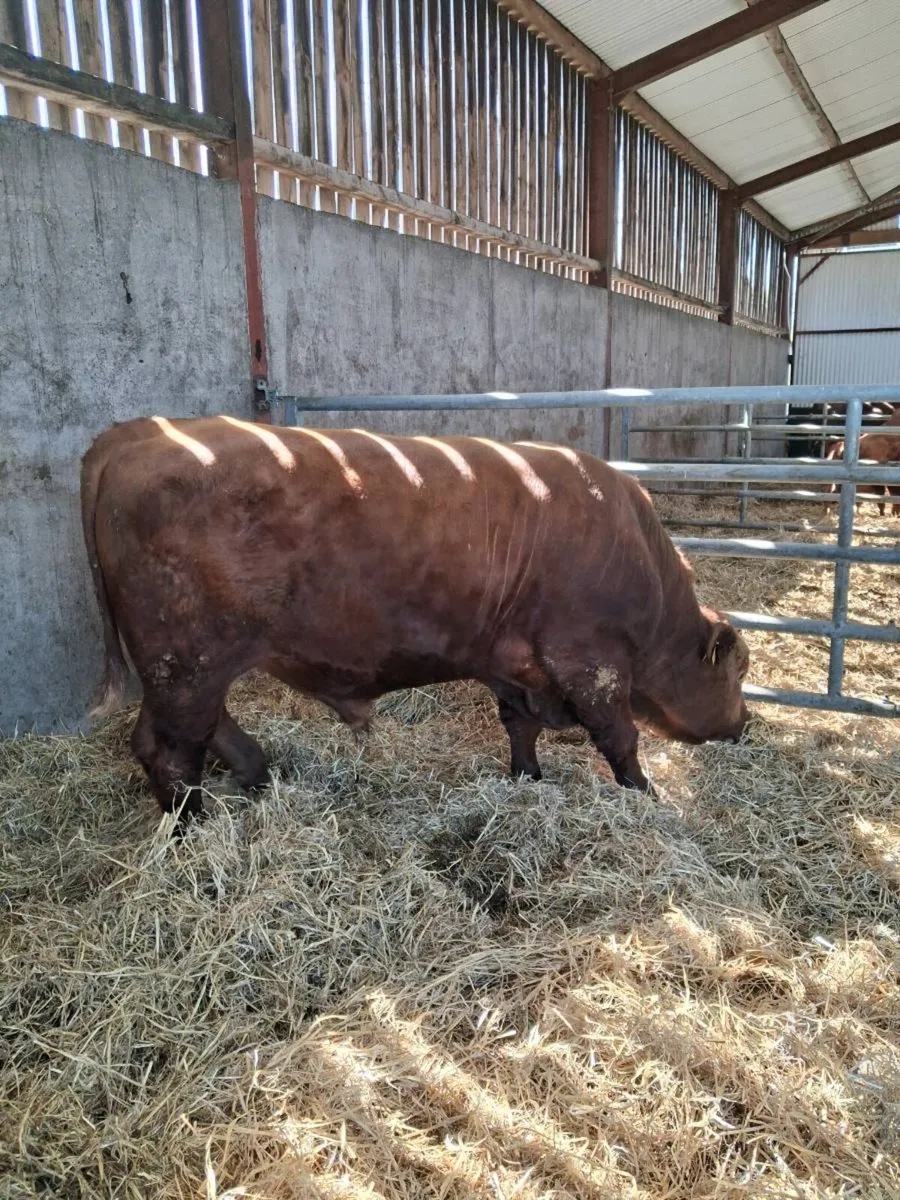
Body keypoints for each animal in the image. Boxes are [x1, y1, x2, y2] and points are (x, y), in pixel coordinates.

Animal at [80, 417, 750, 828]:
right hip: (184, 661)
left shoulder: (513, 664)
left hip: (185, 668)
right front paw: (647, 796)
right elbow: (620, 738)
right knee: (173, 753)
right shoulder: (591, 664)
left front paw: (527, 780)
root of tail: (138, 434)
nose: (745, 725)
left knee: (185, 733)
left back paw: (256, 774)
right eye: (739, 672)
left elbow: (521, 727)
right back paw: (194, 833)